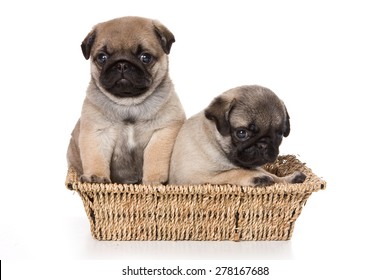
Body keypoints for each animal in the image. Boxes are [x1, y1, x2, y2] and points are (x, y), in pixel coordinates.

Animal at [66, 16, 186, 185]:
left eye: (145, 57)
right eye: (102, 57)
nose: (122, 64)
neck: (129, 103)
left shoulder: (163, 132)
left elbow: (155, 158)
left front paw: (154, 181)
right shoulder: (97, 134)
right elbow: (96, 157)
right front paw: (96, 177)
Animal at [169, 85, 306, 186]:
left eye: (279, 135)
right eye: (242, 133)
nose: (263, 144)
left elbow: (272, 175)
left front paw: (288, 179)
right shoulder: (192, 177)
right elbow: (232, 172)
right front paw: (256, 178)